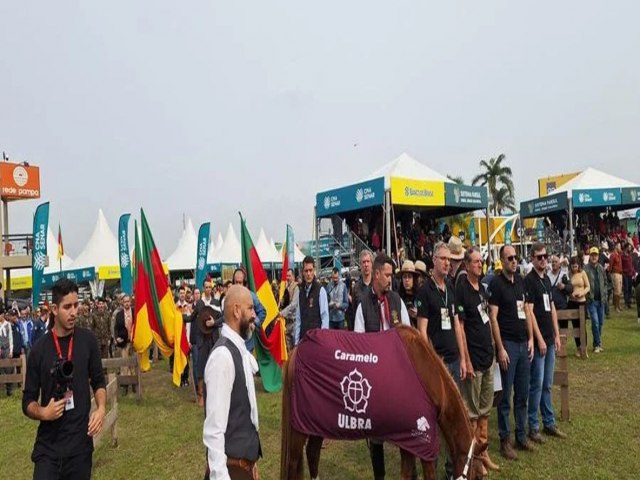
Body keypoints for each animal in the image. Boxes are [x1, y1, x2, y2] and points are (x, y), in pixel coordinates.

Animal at [280, 326, 484, 480]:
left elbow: (406, 475)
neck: (432, 379)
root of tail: (296, 350)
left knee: (312, 454)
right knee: (293, 462)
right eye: (477, 476)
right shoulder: (422, 442)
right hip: (299, 428)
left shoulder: (408, 440)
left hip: (316, 424)